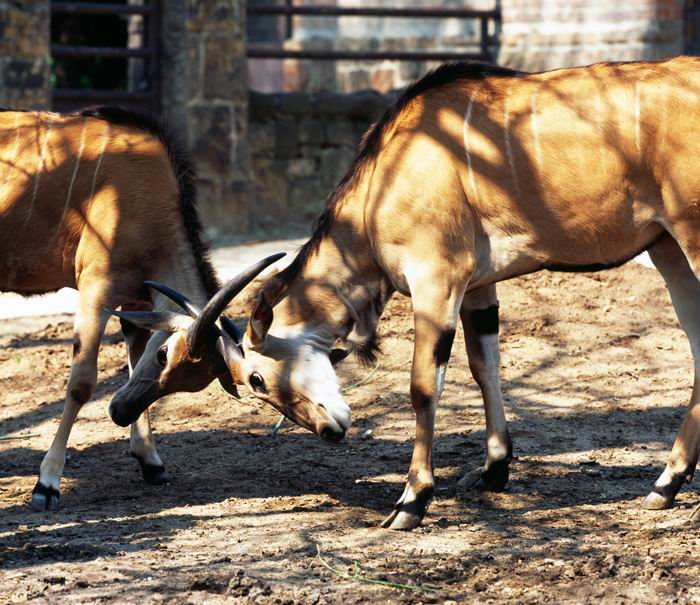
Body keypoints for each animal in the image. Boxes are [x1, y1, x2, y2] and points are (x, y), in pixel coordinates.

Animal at [0, 106, 278, 508]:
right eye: (163, 355)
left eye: (191, 383)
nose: (119, 412)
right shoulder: (95, 290)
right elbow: (81, 382)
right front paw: (47, 483)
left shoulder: (135, 302)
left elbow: (131, 364)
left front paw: (151, 461)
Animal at [227, 56, 700, 528]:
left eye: (257, 379)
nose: (330, 431)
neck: (383, 181)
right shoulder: (478, 288)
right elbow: (483, 365)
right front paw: (494, 470)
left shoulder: (436, 280)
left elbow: (423, 386)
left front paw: (411, 501)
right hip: (667, 249)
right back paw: (665, 484)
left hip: (688, 241)